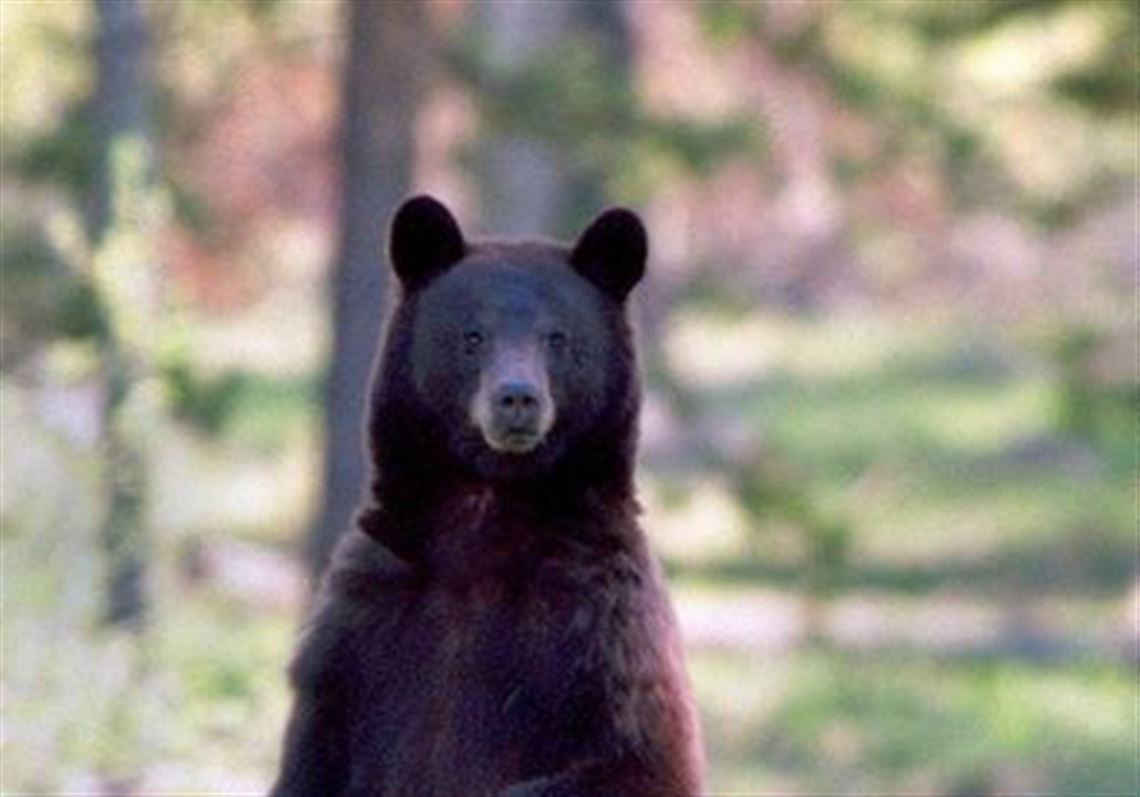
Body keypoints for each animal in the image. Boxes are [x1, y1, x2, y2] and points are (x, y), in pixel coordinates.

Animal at [269, 194, 702, 797]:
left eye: (558, 338)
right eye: (473, 336)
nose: (516, 397)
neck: (487, 509)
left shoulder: (601, 629)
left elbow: (631, 763)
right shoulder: (355, 641)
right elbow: (312, 759)